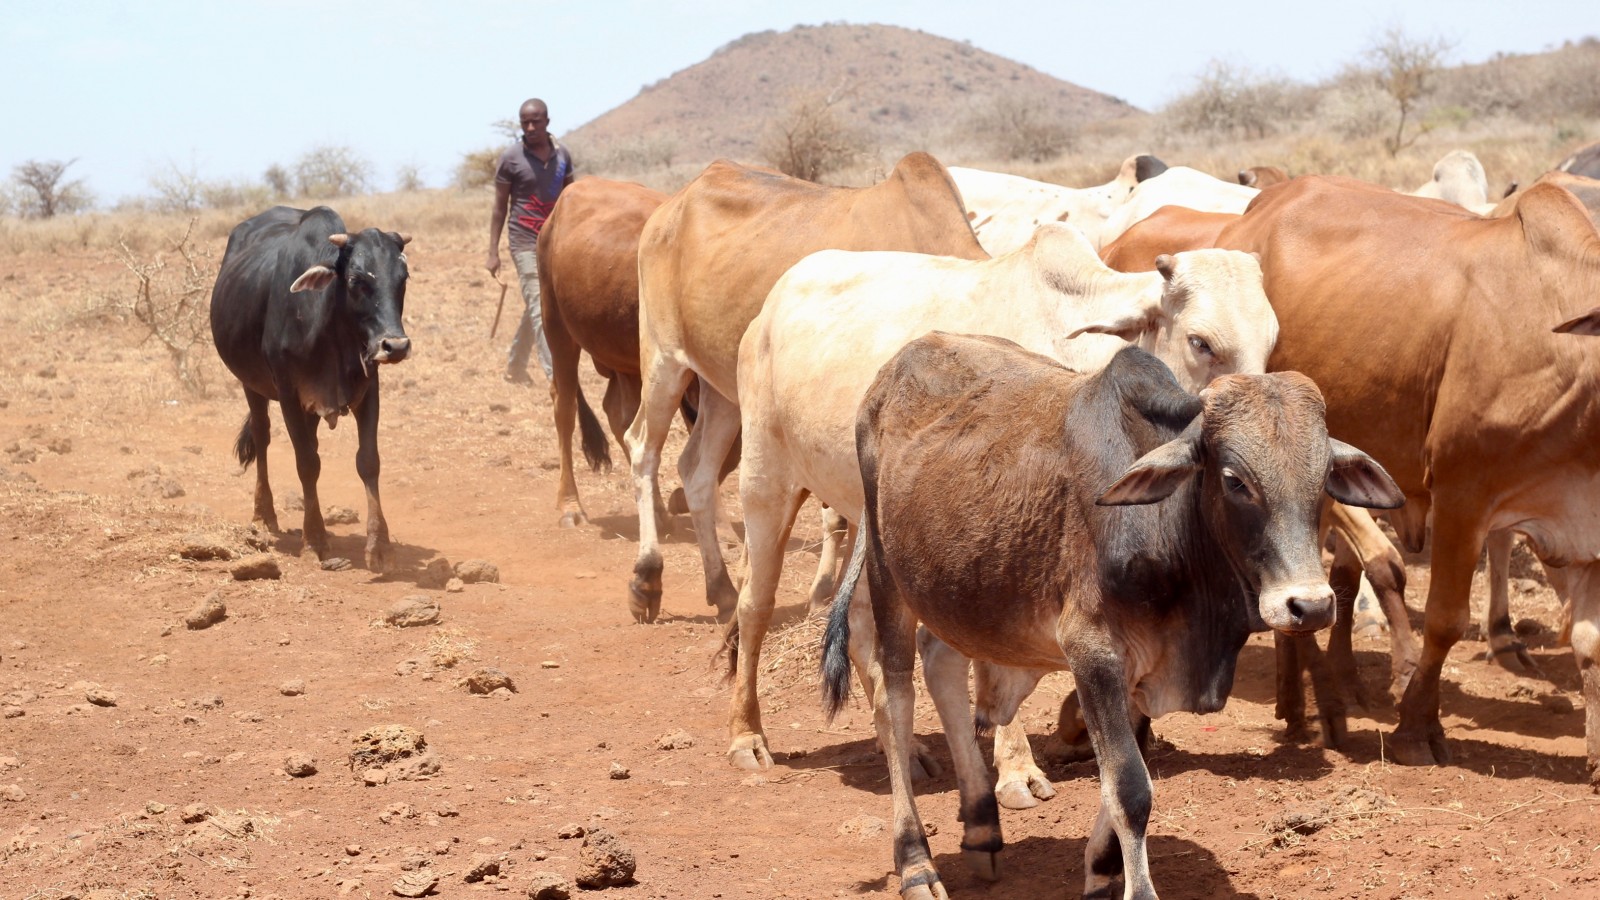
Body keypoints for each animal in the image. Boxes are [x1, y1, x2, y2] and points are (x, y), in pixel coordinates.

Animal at [209, 206, 412, 563]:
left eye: (403, 278)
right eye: (356, 280)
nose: (395, 346)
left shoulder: (368, 390)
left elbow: (368, 461)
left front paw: (378, 544)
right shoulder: (289, 394)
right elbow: (306, 463)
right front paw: (314, 539)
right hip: (252, 385)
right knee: (262, 436)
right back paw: (264, 514)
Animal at [620, 150, 985, 621]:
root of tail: (671, 206)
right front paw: (826, 593)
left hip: (724, 392)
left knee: (695, 470)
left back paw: (722, 588)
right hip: (663, 359)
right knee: (642, 448)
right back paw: (646, 578)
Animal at [732, 224, 1280, 807]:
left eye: (1271, 340)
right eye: (1201, 342)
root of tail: (770, 305)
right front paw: (1018, 769)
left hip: (871, 521)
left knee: (858, 621)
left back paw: (903, 747)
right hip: (765, 481)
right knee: (754, 604)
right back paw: (747, 735)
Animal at [825, 333, 1401, 890]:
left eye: (1323, 477)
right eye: (1236, 480)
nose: (1311, 606)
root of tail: (893, 370)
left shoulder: (1142, 668)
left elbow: (1126, 774)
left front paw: (1101, 870)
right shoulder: (1092, 653)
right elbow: (1130, 788)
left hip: (965, 594)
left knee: (941, 663)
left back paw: (983, 828)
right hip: (887, 575)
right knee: (894, 698)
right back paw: (916, 863)